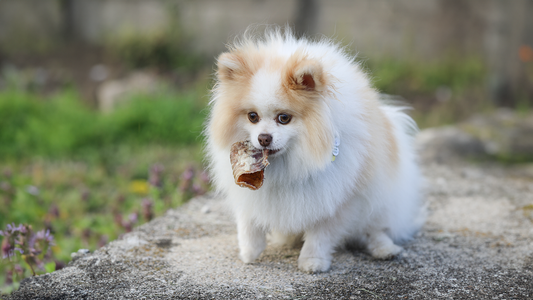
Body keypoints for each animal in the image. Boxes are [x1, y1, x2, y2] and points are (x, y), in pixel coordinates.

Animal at [205, 27, 424, 274]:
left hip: (382, 200)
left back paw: (385, 249)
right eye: (253, 116)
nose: (263, 138)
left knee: (376, 229)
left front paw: (312, 261)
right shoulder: (247, 191)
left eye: (284, 118)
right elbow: (248, 221)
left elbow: (321, 233)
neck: (290, 161)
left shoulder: (337, 196)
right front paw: (249, 251)